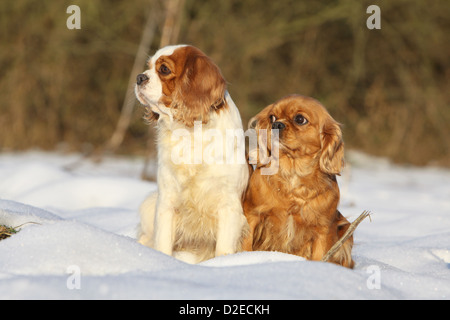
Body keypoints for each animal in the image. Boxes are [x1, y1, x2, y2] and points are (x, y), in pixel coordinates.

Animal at [135, 45, 251, 264]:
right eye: (148, 66)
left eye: (164, 69)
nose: (139, 77)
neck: (190, 132)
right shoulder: (166, 202)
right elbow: (162, 243)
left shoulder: (229, 206)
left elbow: (223, 248)